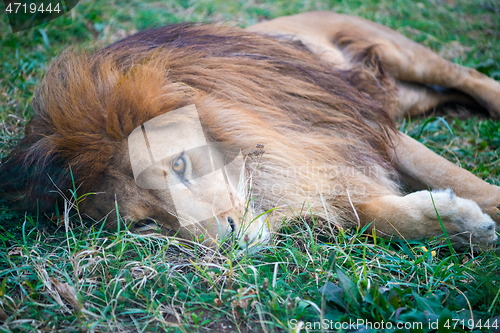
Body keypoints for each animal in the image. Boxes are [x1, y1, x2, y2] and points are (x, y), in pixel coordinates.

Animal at [0, 11, 500, 249]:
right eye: (147, 225)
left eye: (179, 165)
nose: (231, 244)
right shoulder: (324, 168)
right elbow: (374, 214)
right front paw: (459, 225)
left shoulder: (350, 129)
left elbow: (460, 179)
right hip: (404, 96)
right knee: (440, 93)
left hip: (398, 52)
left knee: (463, 75)